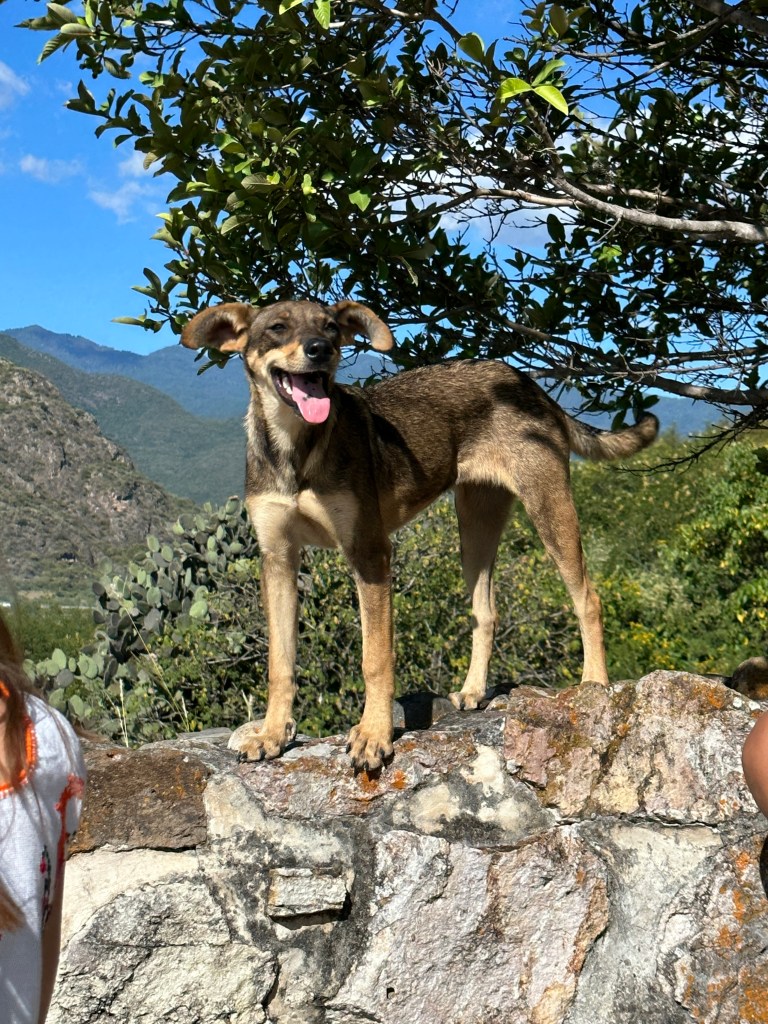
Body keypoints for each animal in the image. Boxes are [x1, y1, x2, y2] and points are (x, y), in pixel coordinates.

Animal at [181, 299, 659, 771]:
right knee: (486, 612)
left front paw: (373, 734)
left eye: (331, 327)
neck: (295, 448)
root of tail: (526, 383)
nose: (320, 350)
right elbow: (280, 663)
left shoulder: (370, 553)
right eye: (278, 327)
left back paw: (594, 683)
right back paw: (473, 691)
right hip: (475, 527)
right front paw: (272, 734)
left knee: (588, 598)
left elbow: (375, 658)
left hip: (549, 507)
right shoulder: (278, 558)